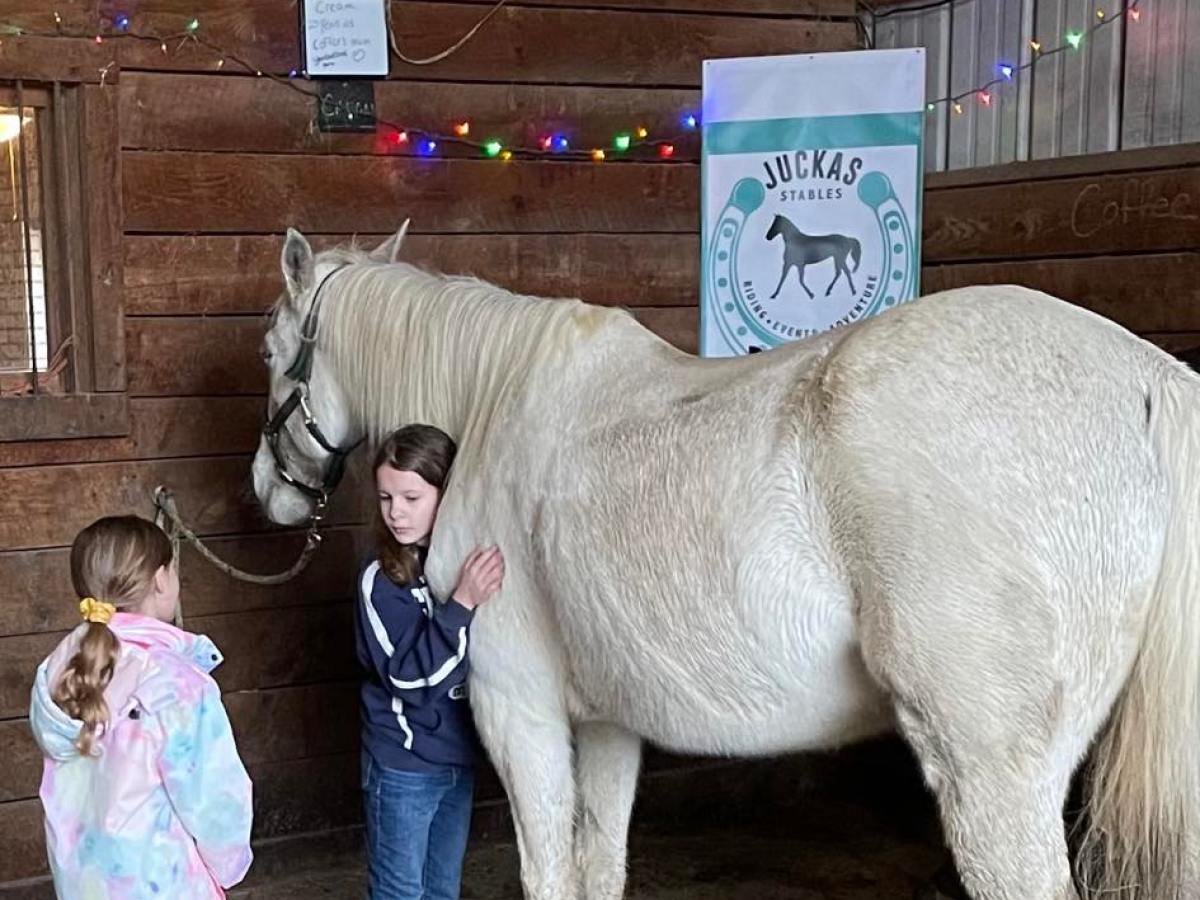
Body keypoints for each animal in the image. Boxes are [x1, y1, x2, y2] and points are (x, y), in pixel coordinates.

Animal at [251, 223, 1200, 900]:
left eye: (270, 352)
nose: (270, 491)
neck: (496, 406)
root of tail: (1150, 377)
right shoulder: (608, 721)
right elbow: (599, 868)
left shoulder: (515, 706)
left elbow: (550, 870)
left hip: (994, 774)